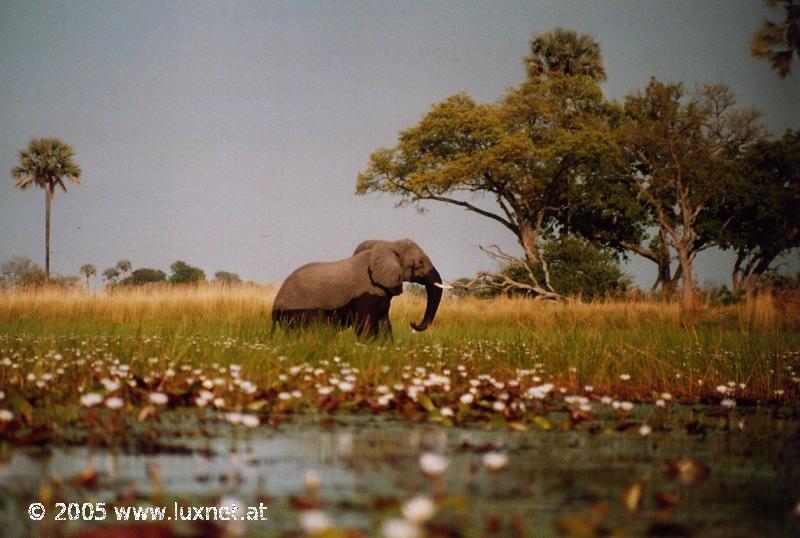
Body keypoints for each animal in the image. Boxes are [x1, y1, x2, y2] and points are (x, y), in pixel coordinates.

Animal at [268, 238, 444, 338]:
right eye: (420, 262)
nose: (412, 322)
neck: (387, 246)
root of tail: (276, 304)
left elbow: (384, 324)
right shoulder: (367, 292)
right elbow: (365, 326)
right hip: (299, 313)